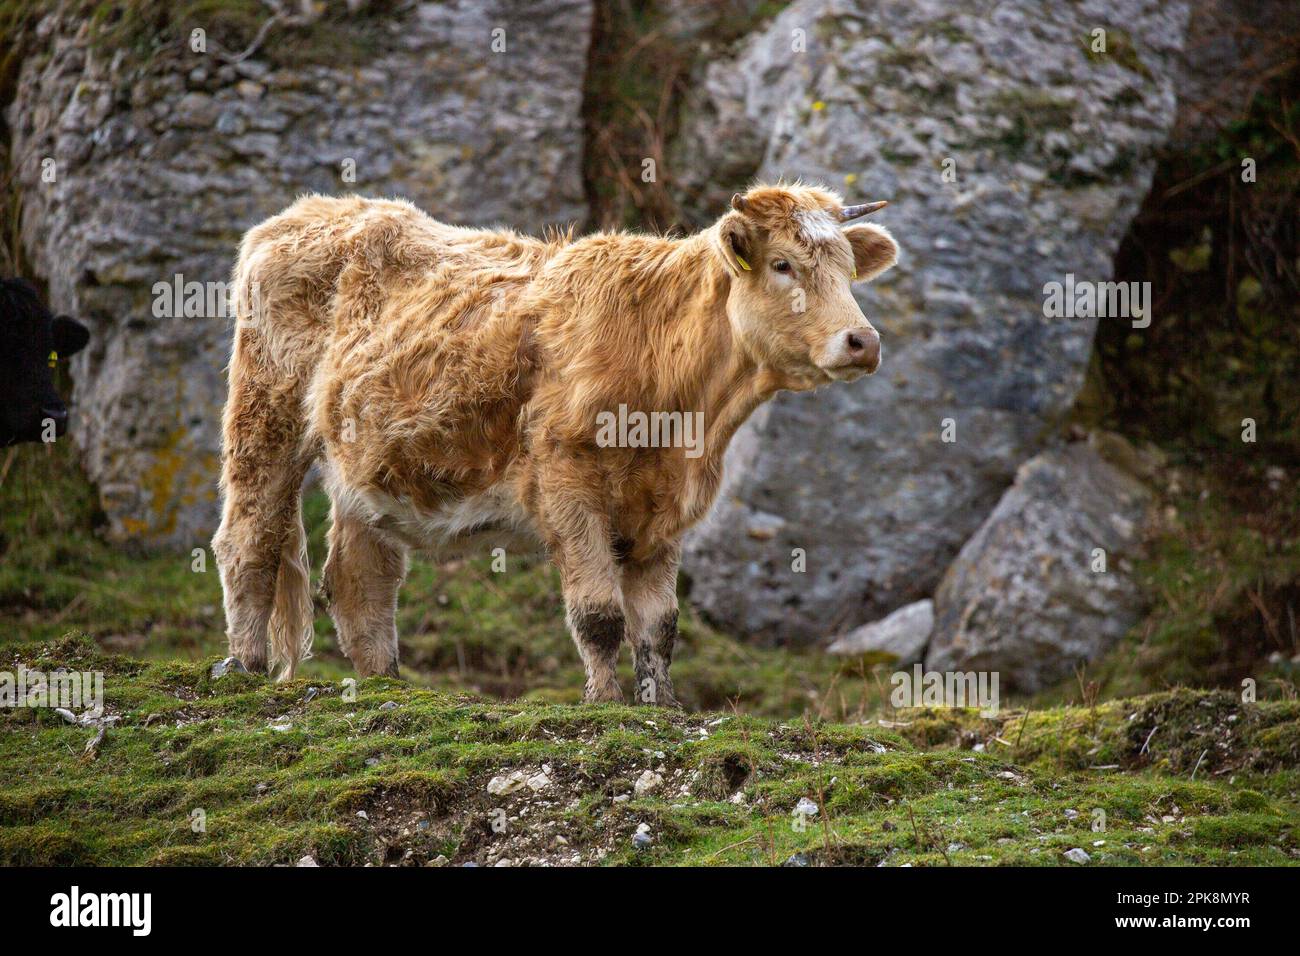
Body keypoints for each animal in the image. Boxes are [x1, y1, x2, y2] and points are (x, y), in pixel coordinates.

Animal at [213, 184, 899, 702]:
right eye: (783, 265)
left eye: (847, 269)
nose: (863, 341)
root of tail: (306, 211)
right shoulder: (569, 486)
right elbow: (599, 615)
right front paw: (606, 702)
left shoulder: (665, 509)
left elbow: (659, 625)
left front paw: (664, 705)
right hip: (265, 419)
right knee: (250, 539)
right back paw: (244, 663)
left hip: (363, 467)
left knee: (360, 581)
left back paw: (386, 682)